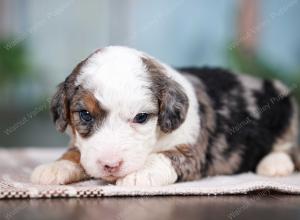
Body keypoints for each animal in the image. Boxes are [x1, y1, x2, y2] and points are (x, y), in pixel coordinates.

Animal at [31, 46, 300, 186]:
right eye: (85, 114)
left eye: (141, 117)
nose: (111, 165)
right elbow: (76, 152)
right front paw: (57, 166)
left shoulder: (193, 152)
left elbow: (164, 157)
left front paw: (138, 174)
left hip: (289, 117)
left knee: (290, 147)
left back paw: (274, 164)